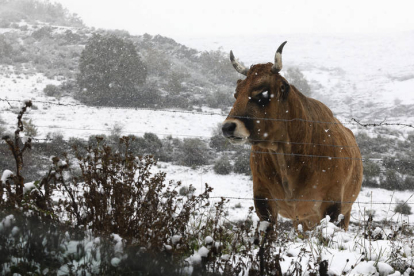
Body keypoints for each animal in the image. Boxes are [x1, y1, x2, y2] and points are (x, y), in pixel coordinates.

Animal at [222, 41, 360, 231]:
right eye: (236, 94)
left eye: (263, 93)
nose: (228, 127)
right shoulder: (263, 199)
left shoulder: (333, 206)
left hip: (343, 213)